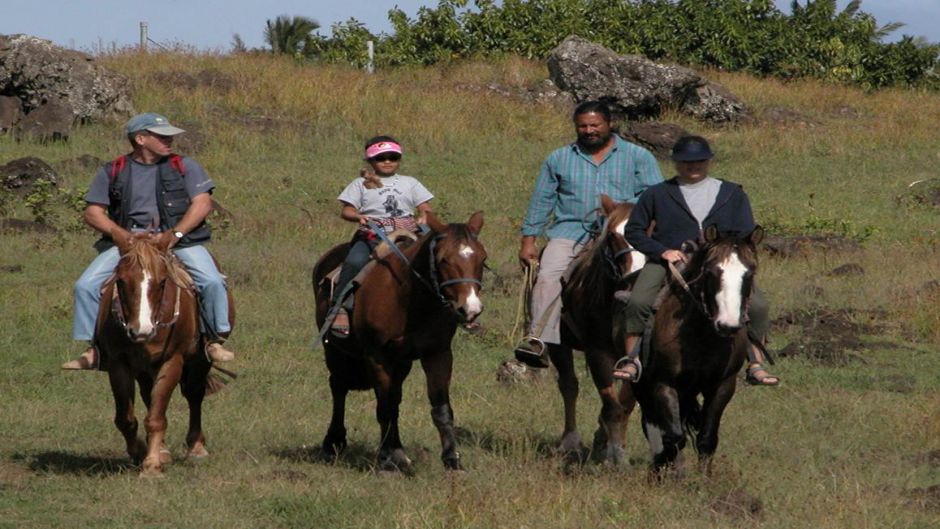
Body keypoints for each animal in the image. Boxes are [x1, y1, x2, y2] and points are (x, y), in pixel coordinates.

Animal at [96, 233, 232, 476]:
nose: (141, 330)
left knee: (194, 395)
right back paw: (163, 449)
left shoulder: (172, 362)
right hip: (144, 371)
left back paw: (196, 447)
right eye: (121, 281)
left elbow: (157, 417)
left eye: (161, 282)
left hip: (199, 361)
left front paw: (151, 466)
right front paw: (141, 453)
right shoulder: (118, 364)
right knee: (149, 395)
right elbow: (126, 417)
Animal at [314, 210, 488, 470]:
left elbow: (440, 409)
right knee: (339, 386)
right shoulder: (377, 356)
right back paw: (333, 443)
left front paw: (451, 459)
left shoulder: (438, 354)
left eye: (482, 258)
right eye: (444, 259)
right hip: (335, 351)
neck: (408, 299)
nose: (471, 309)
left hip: (402, 363)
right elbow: (384, 407)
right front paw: (388, 460)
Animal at [556, 194, 648, 462]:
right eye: (614, 235)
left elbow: (625, 404)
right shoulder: (598, 353)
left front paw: (613, 448)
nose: (634, 275)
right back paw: (570, 441)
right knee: (569, 386)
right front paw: (615, 456)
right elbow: (612, 406)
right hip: (559, 345)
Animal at [624, 225, 764, 472]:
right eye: (711, 272)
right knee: (653, 426)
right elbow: (672, 438)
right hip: (642, 386)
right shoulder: (664, 383)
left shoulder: (722, 386)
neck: (701, 336)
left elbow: (707, 438)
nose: (727, 325)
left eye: (749, 273)